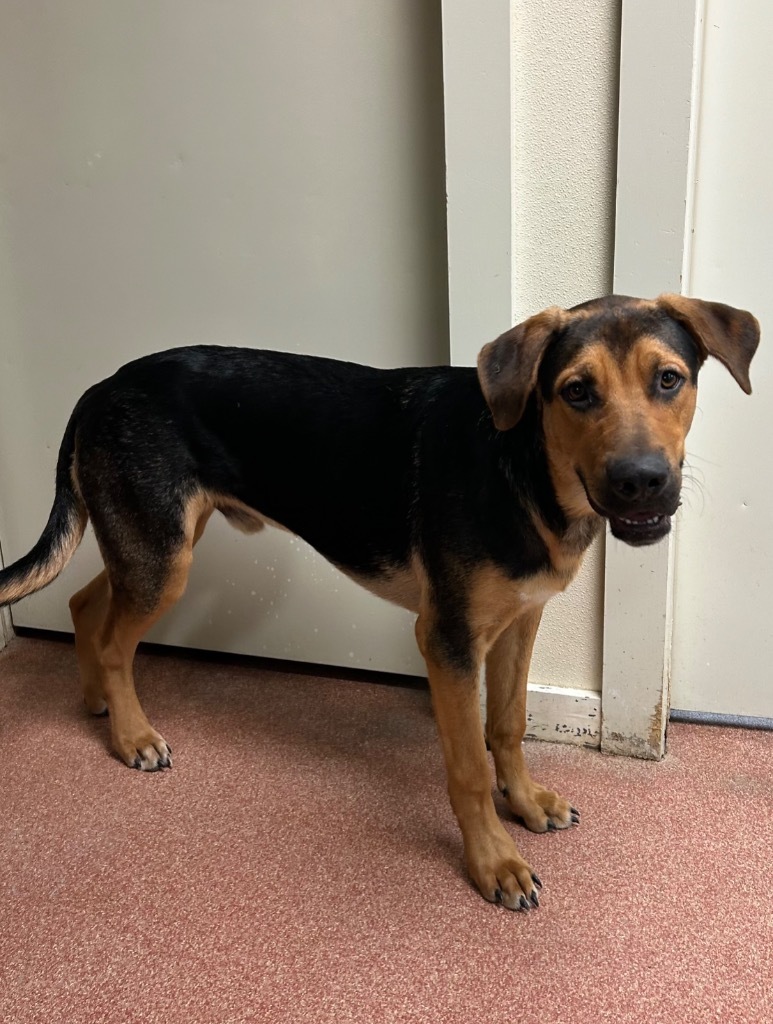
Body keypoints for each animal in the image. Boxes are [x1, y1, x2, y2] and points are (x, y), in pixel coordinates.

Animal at [0, 292, 761, 909]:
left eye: (669, 379)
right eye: (576, 391)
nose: (643, 482)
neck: (522, 466)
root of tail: (101, 385)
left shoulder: (520, 621)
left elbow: (508, 726)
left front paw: (526, 803)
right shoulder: (447, 639)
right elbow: (468, 767)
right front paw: (494, 862)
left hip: (153, 543)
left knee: (86, 607)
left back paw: (99, 703)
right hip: (162, 554)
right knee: (113, 638)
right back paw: (132, 736)